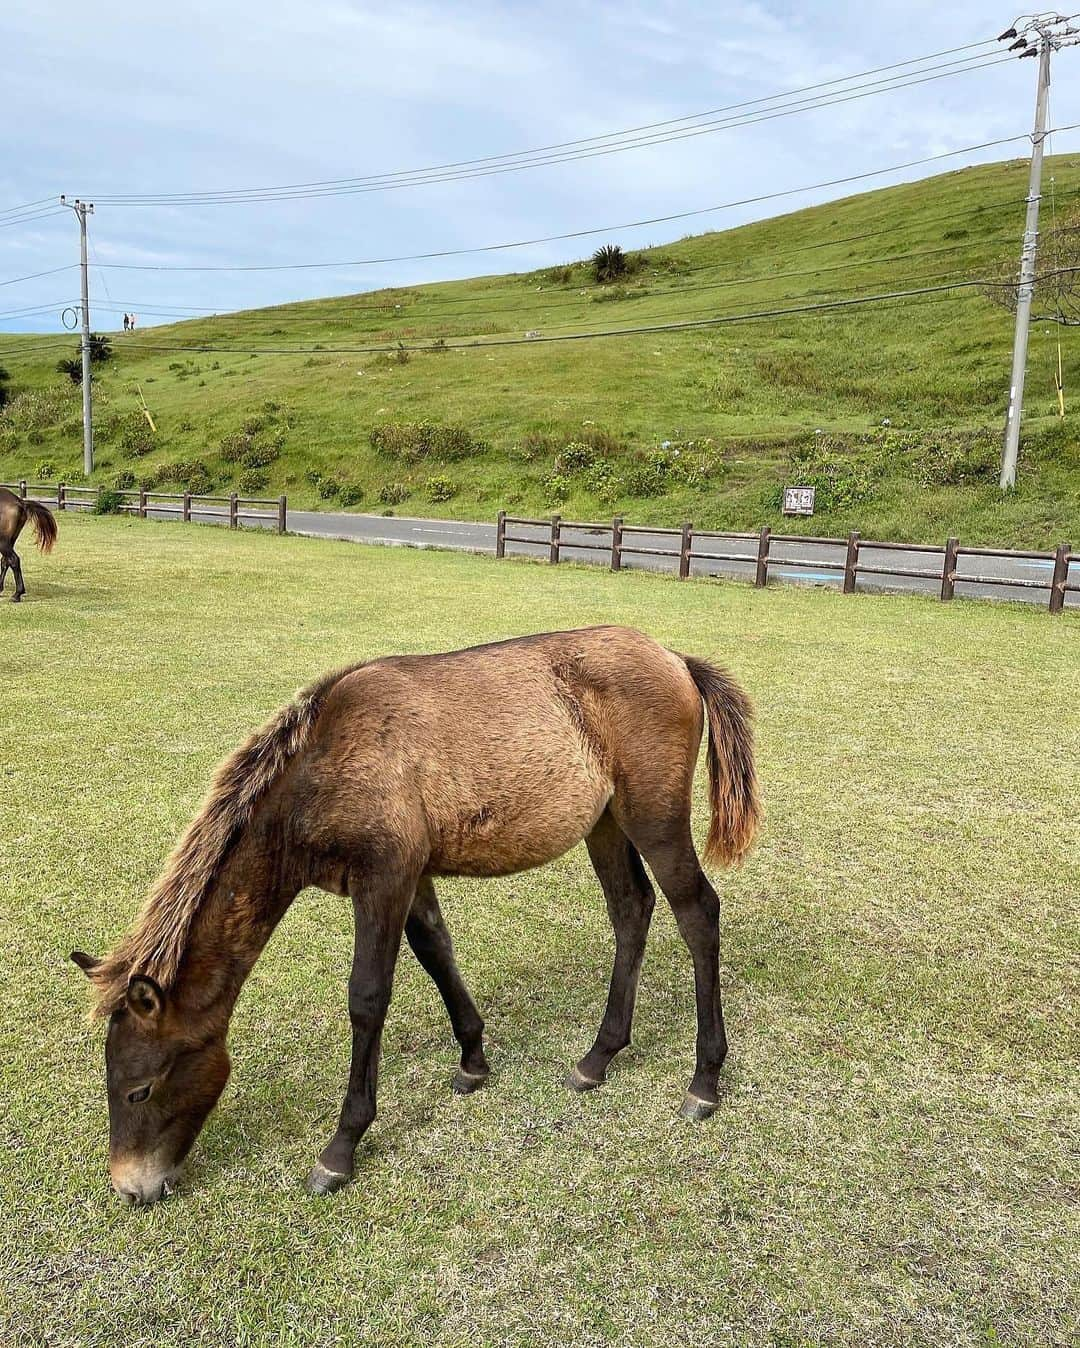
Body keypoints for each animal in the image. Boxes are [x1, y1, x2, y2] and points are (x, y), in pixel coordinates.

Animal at [71, 625, 760, 1207]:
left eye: (138, 1088)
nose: (130, 1188)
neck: (325, 764)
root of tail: (676, 659)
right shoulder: (412, 876)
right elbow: (436, 952)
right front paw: (473, 1060)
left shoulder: (383, 879)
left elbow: (368, 997)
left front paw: (339, 1151)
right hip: (607, 823)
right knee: (631, 910)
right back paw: (598, 1058)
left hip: (653, 816)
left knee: (697, 912)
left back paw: (703, 1081)